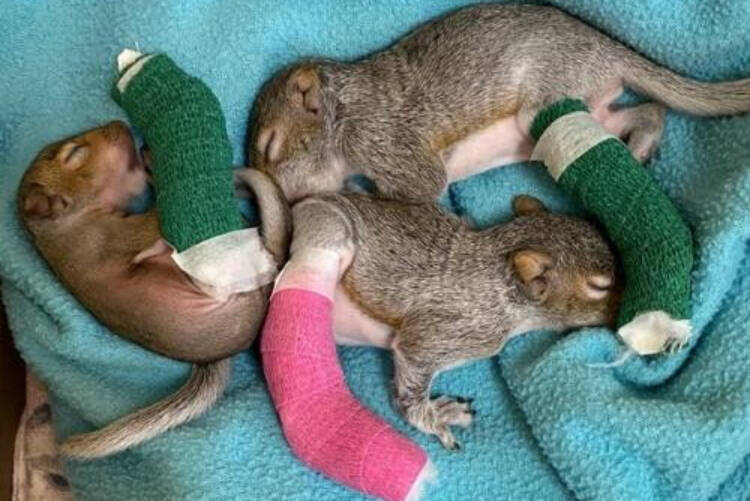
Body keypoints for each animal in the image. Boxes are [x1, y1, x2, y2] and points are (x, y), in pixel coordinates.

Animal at [249, 3, 750, 203]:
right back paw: (644, 140)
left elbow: (423, 184)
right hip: (595, 109)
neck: (344, 106)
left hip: (549, 91)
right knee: (647, 110)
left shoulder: (379, 136)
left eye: (272, 145)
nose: (278, 202)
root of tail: (605, 48)